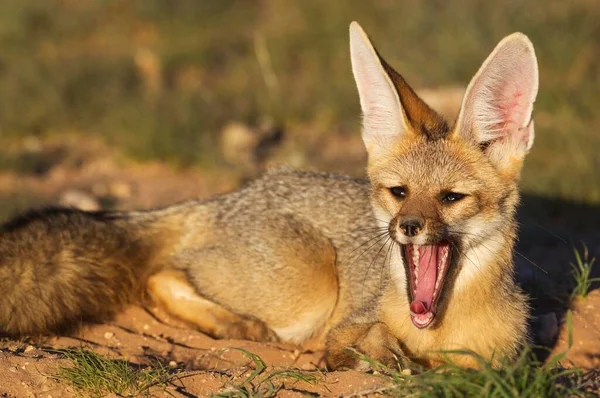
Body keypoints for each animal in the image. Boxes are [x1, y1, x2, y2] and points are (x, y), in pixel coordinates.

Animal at [0, 21, 540, 370]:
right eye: (399, 192)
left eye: (451, 198)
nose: (406, 227)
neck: (439, 331)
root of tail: (231, 196)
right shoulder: (347, 323)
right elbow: (363, 344)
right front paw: (375, 355)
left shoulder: (506, 364)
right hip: (309, 291)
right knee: (160, 274)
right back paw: (236, 325)